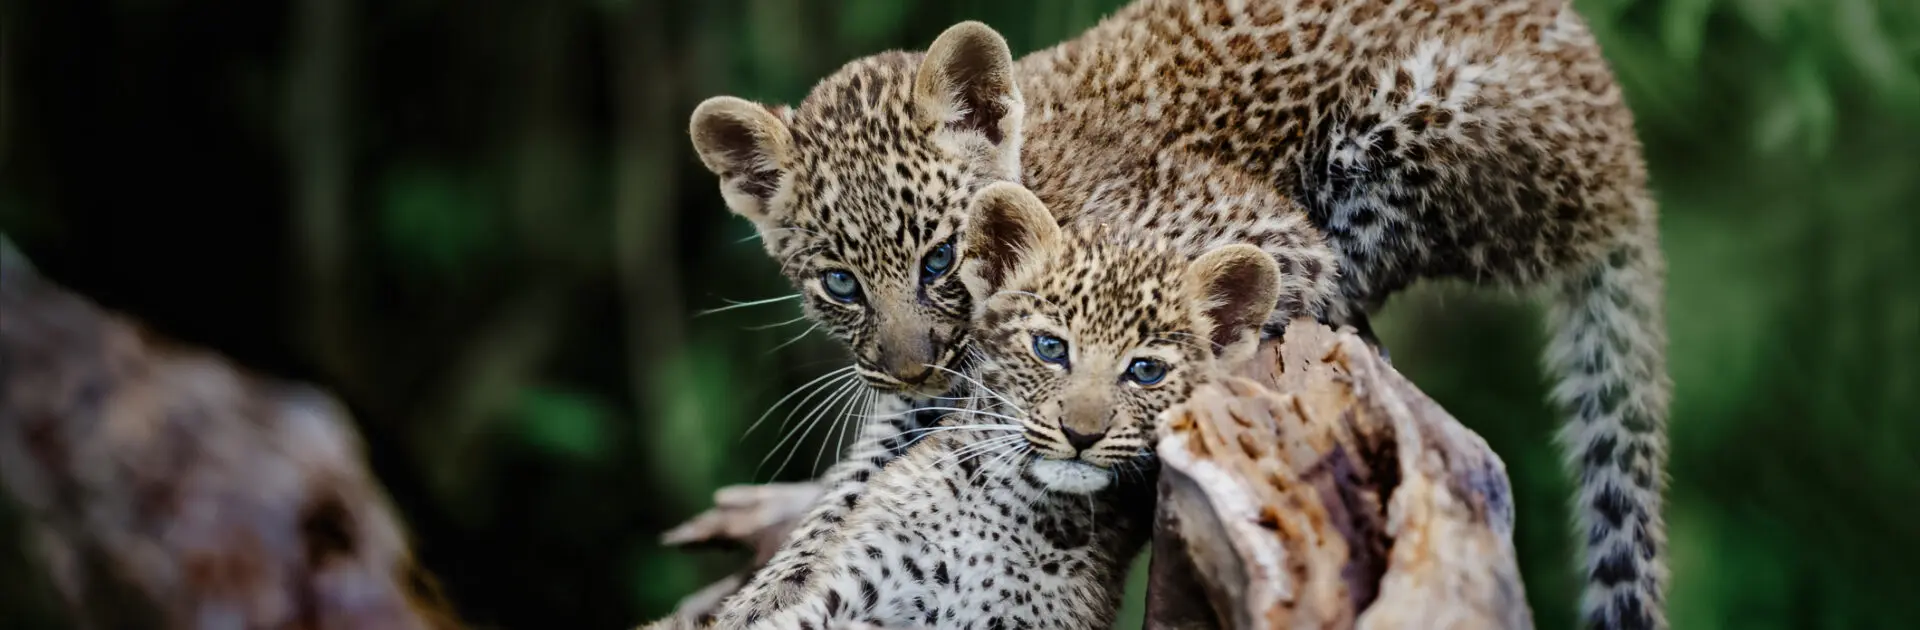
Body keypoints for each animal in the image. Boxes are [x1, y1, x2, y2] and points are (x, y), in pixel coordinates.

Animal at [688, 2, 1669, 628]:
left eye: (938, 258)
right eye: (838, 283)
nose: (909, 365)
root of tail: (1626, 158)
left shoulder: (1267, 234)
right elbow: (849, 495)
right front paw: (759, 595)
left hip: (1413, 116)